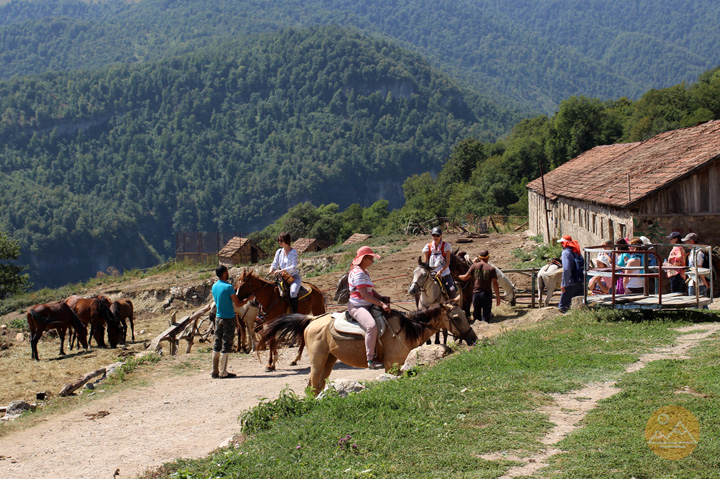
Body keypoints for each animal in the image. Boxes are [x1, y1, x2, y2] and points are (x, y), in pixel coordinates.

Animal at [258, 302, 478, 396]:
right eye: (456, 317)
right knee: (312, 385)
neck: (404, 328)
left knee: (319, 385)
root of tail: (312, 320)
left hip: (329, 360)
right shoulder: (391, 365)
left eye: (465, 314)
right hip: (317, 361)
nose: (474, 339)